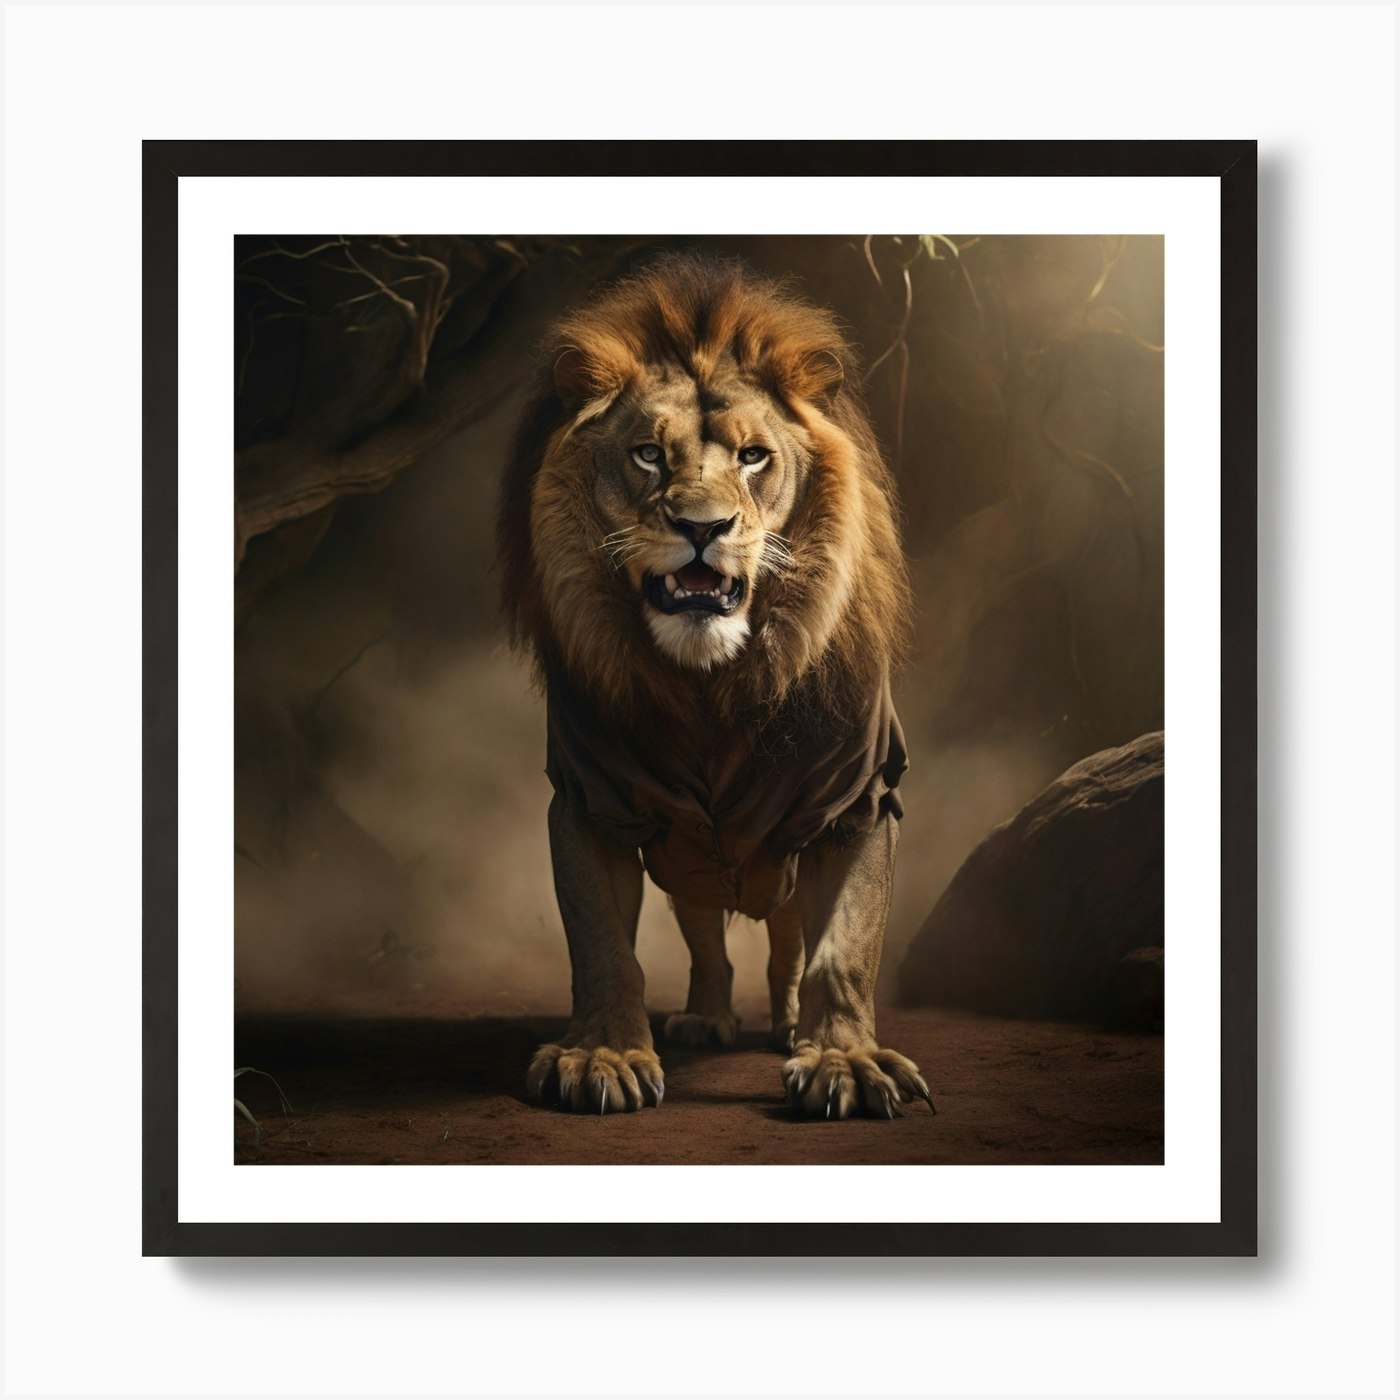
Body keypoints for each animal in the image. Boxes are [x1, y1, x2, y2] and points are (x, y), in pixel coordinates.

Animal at [496, 253, 935, 1119]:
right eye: (647, 455)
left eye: (753, 457)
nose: (703, 528)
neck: (709, 685)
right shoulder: (592, 798)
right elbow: (603, 946)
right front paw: (603, 1055)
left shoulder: (859, 800)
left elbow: (845, 949)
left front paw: (844, 1063)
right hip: (690, 858)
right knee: (705, 938)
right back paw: (705, 1017)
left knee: (790, 940)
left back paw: (791, 1023)